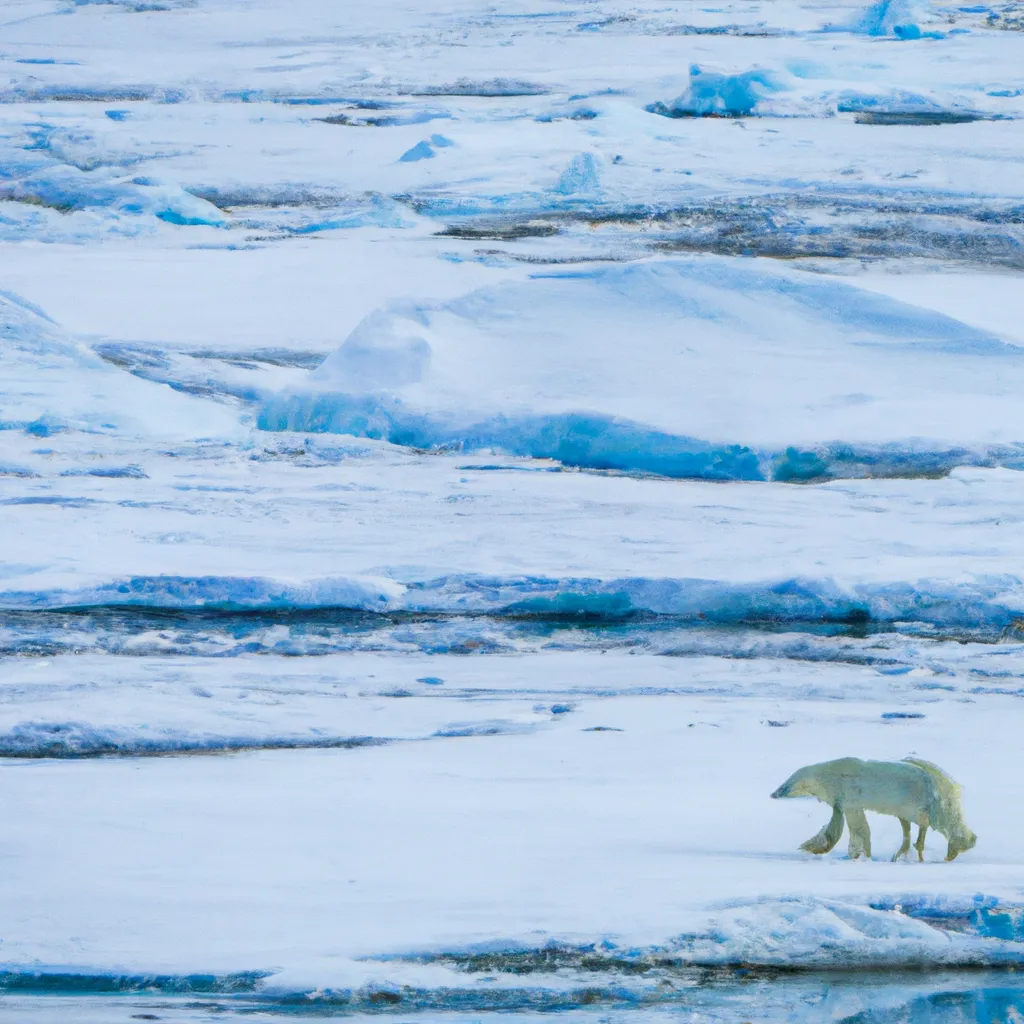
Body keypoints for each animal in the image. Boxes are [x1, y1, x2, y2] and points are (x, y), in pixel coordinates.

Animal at [770, 757, 974, 860]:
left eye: (785, 786)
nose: (773, 794)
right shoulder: (844, 798)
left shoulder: (848, 794)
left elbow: (853, 826)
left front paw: (856, 854)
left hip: (921, 799)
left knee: (942, 822)